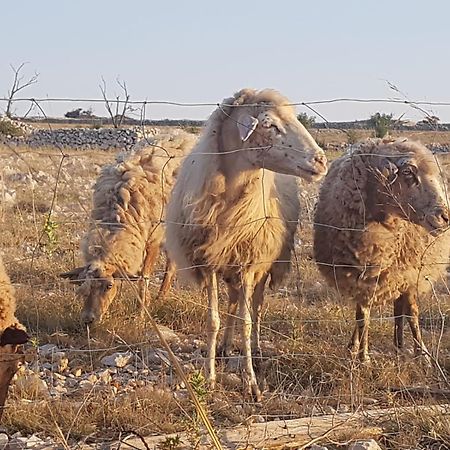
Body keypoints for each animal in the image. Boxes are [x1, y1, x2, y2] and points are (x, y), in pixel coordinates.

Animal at [60, 130, 195, 324]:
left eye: (108, 286)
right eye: (82, 285)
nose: (88, 319)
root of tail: (186, 134)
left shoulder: (153, 238)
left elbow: (144, 279)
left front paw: (140, 314)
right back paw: (161, 296)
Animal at [165, 89, 326, 400]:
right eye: (270, 125)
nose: (321, 160)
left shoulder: (250, 264)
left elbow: (247, 321)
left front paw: (251, 382)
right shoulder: (209, 261)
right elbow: (213, 320)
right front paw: (210, 376)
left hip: (265, 264)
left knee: (257, 306)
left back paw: (257, 348)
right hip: (230, 266)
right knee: (233, 301)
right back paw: (226, 347)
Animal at [312, 137, 450, 362]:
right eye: (408, 172)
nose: (445, 217)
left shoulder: (410, 274)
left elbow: (412, 312)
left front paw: (422, 355)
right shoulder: (360, 275)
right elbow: (362, 316)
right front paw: (363, 357)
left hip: (402, 275)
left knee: (402, 309)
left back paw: (402, 346)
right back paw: (365, 346)